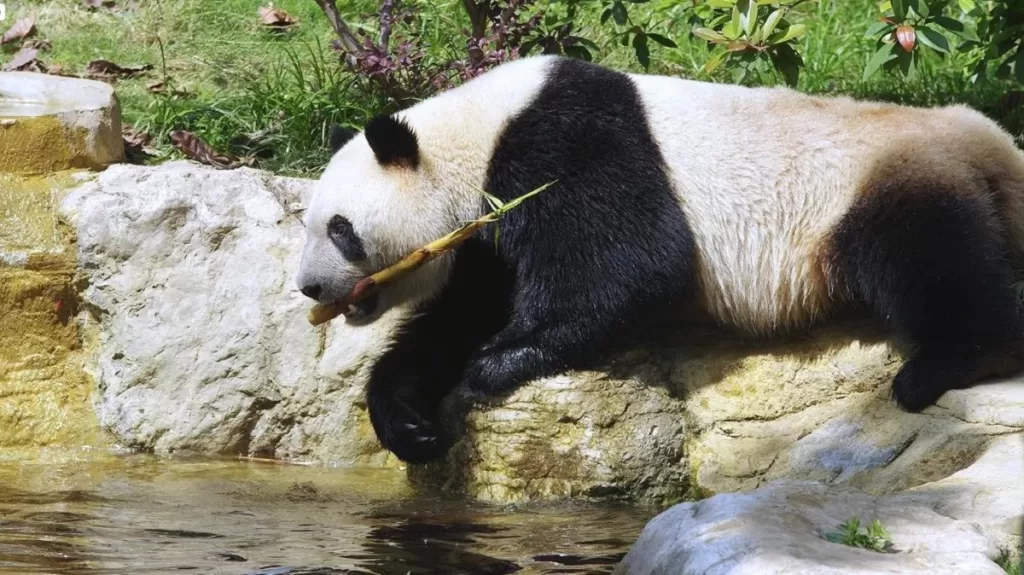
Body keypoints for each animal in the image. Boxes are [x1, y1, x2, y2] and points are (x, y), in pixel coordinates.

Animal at [297, 55, 1024, 464]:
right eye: (310, 223)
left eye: (340, 228)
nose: (309, 289)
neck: (470, 132)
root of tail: (990, 143)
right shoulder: (482, 237)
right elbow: (462, 312)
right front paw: (408, 420)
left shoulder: (561, 140)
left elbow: (638, 262)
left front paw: (502, 359)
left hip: (873, 184)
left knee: (928, 260)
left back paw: (942, 365)